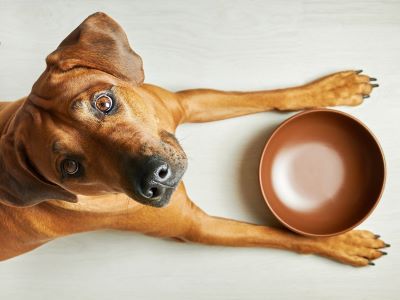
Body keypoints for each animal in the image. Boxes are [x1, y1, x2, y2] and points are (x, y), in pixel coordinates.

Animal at [0, 12, 388, 264]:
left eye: (104, 103)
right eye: (70, 168)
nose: (154, 179)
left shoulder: (183, 103)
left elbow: (264, 95)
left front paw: (333, 88)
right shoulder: (199, 227)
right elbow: (281, 236)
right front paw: (343, 243)